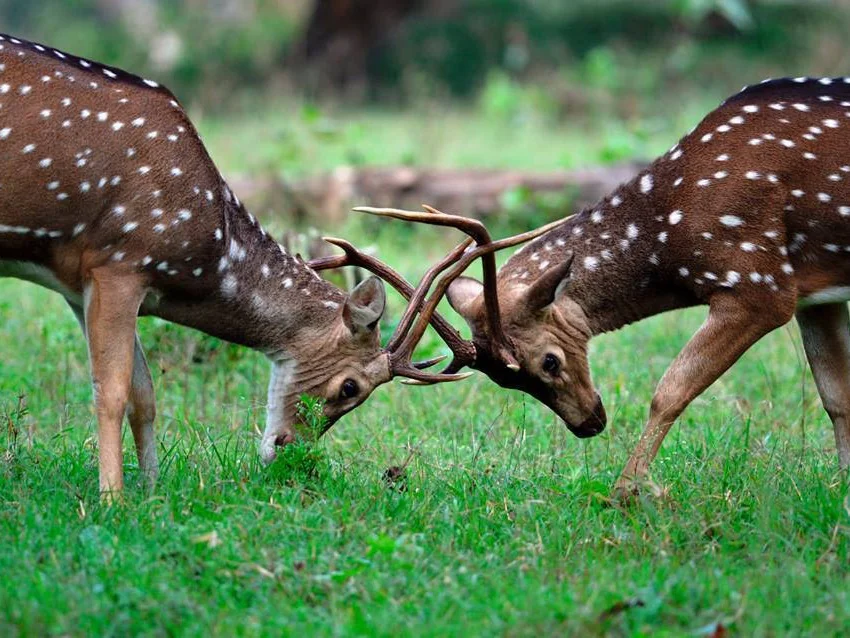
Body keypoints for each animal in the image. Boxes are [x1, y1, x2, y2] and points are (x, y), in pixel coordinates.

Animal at [0, 33, 570, 498]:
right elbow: (113, 392)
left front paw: (152, 494)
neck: (202, 247)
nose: (286, 450)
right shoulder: (118, 260)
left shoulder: (81, 284)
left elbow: (145, 393)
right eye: (350, 387)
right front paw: (112, 502)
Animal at [342, 76, 850, 499]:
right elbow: (836, 397)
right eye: (505, 379)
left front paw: (625, 492)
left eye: (549, 361)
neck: (673, 231)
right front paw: (842, 490)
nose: (589, 424)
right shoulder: (813, 295)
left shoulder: (761, 284)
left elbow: (670, 390)